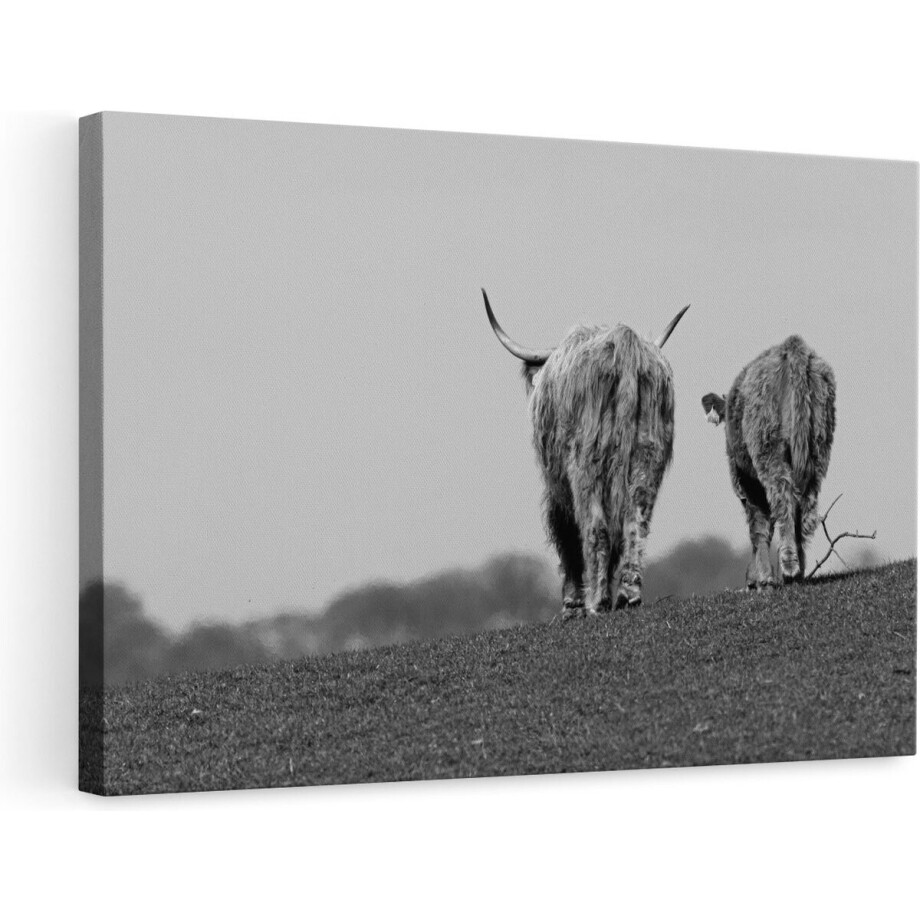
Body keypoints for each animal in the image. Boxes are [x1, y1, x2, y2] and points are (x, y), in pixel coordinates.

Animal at [483, 289, 689, 618]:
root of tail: (626, 348)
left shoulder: (556, 486)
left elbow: (565, 534)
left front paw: (571, 604)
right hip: (648, 455)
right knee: (636, 521)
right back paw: (627, 594)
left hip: (585, 463)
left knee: (596, 527)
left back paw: (597, 601)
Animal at [702, 335, 836, 589]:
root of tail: (792, 346)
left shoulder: (746, 484)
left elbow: (759, 527)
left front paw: (760, 578)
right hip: (817, 451)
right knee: (804, 507)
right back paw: (799, 569)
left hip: (769, 450)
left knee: (783, 500)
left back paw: (789, 567)